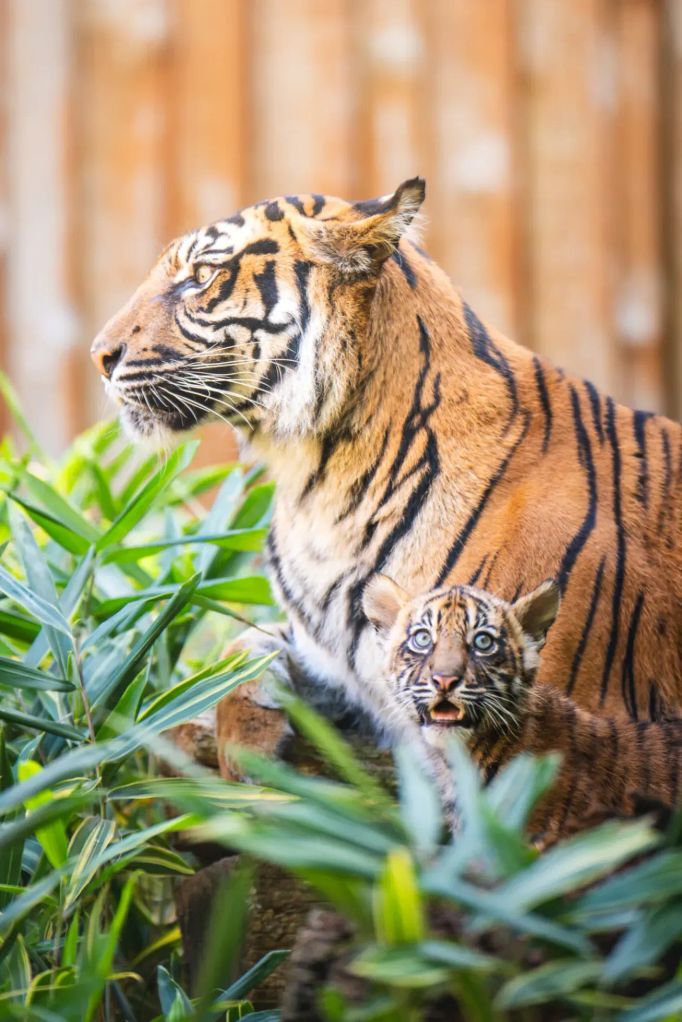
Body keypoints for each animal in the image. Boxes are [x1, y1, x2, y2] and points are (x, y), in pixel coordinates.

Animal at [92, 177, 682, 760]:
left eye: (202, 276)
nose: (100, 356)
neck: (318, 483)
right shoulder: (341, 664)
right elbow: (238, 653)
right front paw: (252, 756)